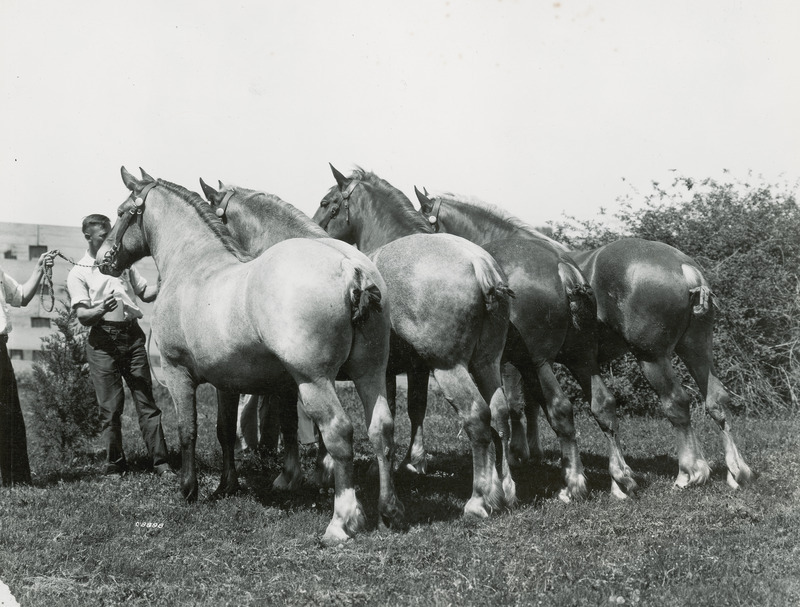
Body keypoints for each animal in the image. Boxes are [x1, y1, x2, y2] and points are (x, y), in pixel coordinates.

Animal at [97, 167, 404, 548]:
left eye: (123, 211)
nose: (103, 259)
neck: (194, 265)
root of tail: (352, 268)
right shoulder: (226, 381)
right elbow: (225, 431)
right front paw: (226, 486)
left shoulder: (177, 374)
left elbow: (188, 431)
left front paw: (189, 489)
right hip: (370, 373)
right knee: (382, 430)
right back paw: (390, 510)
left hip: (314, 381)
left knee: (338, 432)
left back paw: (341, 522)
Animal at [310, 166, 516, 516]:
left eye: (327, 203)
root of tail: (479, 263)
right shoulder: (414, 368)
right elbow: (414, 408)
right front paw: (414, 461)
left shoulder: (387, 371)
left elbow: (389, 412)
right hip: (486, 364)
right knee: (500, 413)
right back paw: (504, 490)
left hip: (451, 369)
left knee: (477, 416)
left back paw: (478, 500)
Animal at [416, 192, 752, 492]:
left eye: (423, 221)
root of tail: (685, 267)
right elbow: (534, 403)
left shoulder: (512, 362)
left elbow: (516, 404)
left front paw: (519, 453)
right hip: (696, 351)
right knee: (716, 399)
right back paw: (736, 471)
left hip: (653, 358)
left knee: (676, 403)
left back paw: (688, 472)